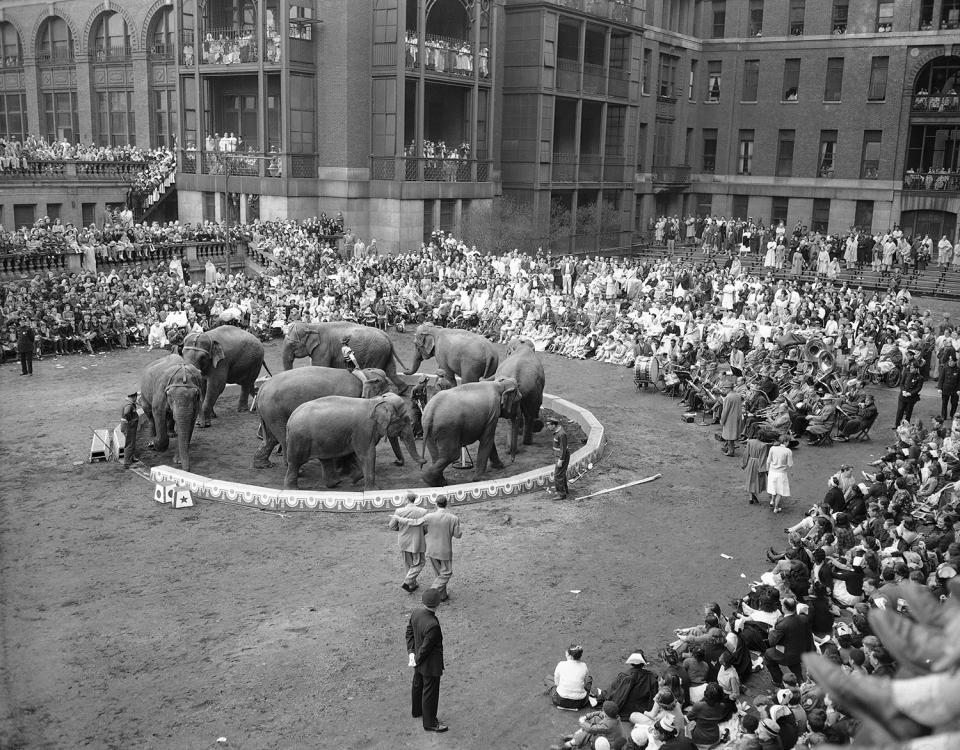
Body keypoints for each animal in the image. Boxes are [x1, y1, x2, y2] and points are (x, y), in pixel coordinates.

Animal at [251, 366, 398, 468]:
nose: (397, 463)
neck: (363, 374)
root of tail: (262, 388)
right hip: (276, 412)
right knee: (283, 439)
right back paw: (299, 470)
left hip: (269, 413)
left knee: (271, 438)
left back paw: (263, 465)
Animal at [284, 394, 422, 494]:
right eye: (405, 420)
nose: (396, 462)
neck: (375, 401)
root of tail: (290, 419)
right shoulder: (363, 430)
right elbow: (368, 455)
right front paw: (374, 490)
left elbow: (356, 453)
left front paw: (355, 478)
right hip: (299, 439)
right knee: (294, 463)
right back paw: (292, 490)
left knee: (325, 460)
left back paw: (336, 483)